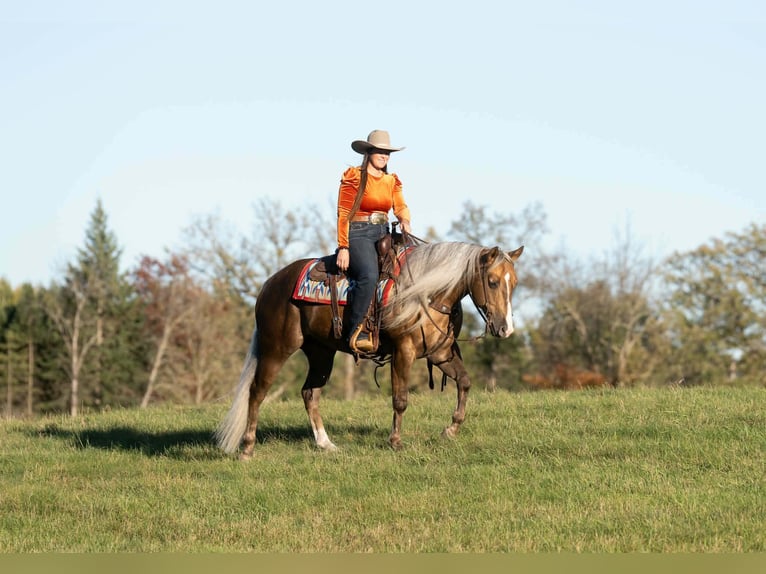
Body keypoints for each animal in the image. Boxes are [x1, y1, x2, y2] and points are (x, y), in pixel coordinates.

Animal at [215, 241, 524, 459]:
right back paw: (247, 448)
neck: (426, 293)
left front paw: (450, 429)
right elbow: (400, 399)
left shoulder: (441, 353)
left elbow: (465, 382)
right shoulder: (403, 351)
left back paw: (326, 444)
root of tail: (269, 284)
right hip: (276, 348)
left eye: (515, 283)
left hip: (321, 353)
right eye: (493, 282)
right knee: (257, 392)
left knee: (309, 393)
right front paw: (396, 441)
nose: (505, 328)